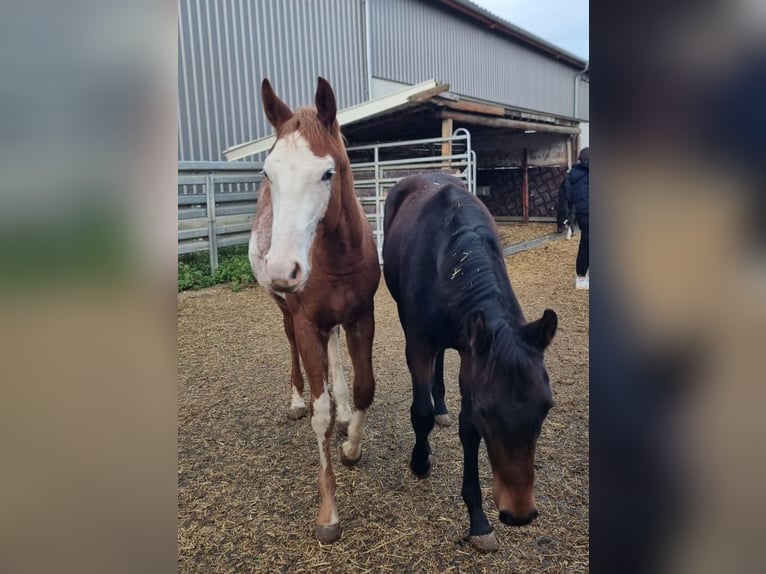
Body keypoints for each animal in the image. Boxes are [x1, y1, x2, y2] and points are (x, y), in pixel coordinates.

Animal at [248, 77, 380, 544]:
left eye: (327, 172)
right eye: (268, 172)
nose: (283, 269)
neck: (336, 257)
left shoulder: (362, 316)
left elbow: (364, 388)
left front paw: (351, 445)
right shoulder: (306, 322)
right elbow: (319, 416)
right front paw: (328, 514)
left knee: (334, 351)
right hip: (287, 313)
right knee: (293, 347)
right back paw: (295, 400)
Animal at [382, 173, 557, 553]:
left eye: (546, 408)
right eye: (488, 411)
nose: (519, 514)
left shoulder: (471, 354)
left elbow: (467, 430)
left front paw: (478, 520)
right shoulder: (420, 344)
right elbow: (420, 412)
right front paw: (420, 462)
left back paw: (442, 406)